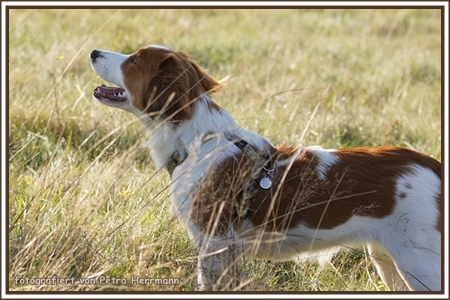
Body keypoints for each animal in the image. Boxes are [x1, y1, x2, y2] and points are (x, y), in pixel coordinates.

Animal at [89, 44, 442, 290]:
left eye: (134, 61)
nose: (93, 52)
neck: (197, 141)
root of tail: (432, 166)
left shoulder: (215, 243)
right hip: (388, 261)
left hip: (421, 264)